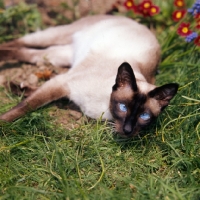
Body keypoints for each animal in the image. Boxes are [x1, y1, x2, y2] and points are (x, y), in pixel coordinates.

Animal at [0, 14, 178, 138]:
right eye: (123, 107)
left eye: (144, 116)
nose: (127, 131)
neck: (106, 109)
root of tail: (138, 23)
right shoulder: (61, 84)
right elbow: (25, 107)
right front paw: (3, 123)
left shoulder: (59, 86)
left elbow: (33, 99)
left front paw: (19, 88)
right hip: (55, 36)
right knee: (17, 43)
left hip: (58, 55)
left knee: (28, 54)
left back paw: (15, 85)